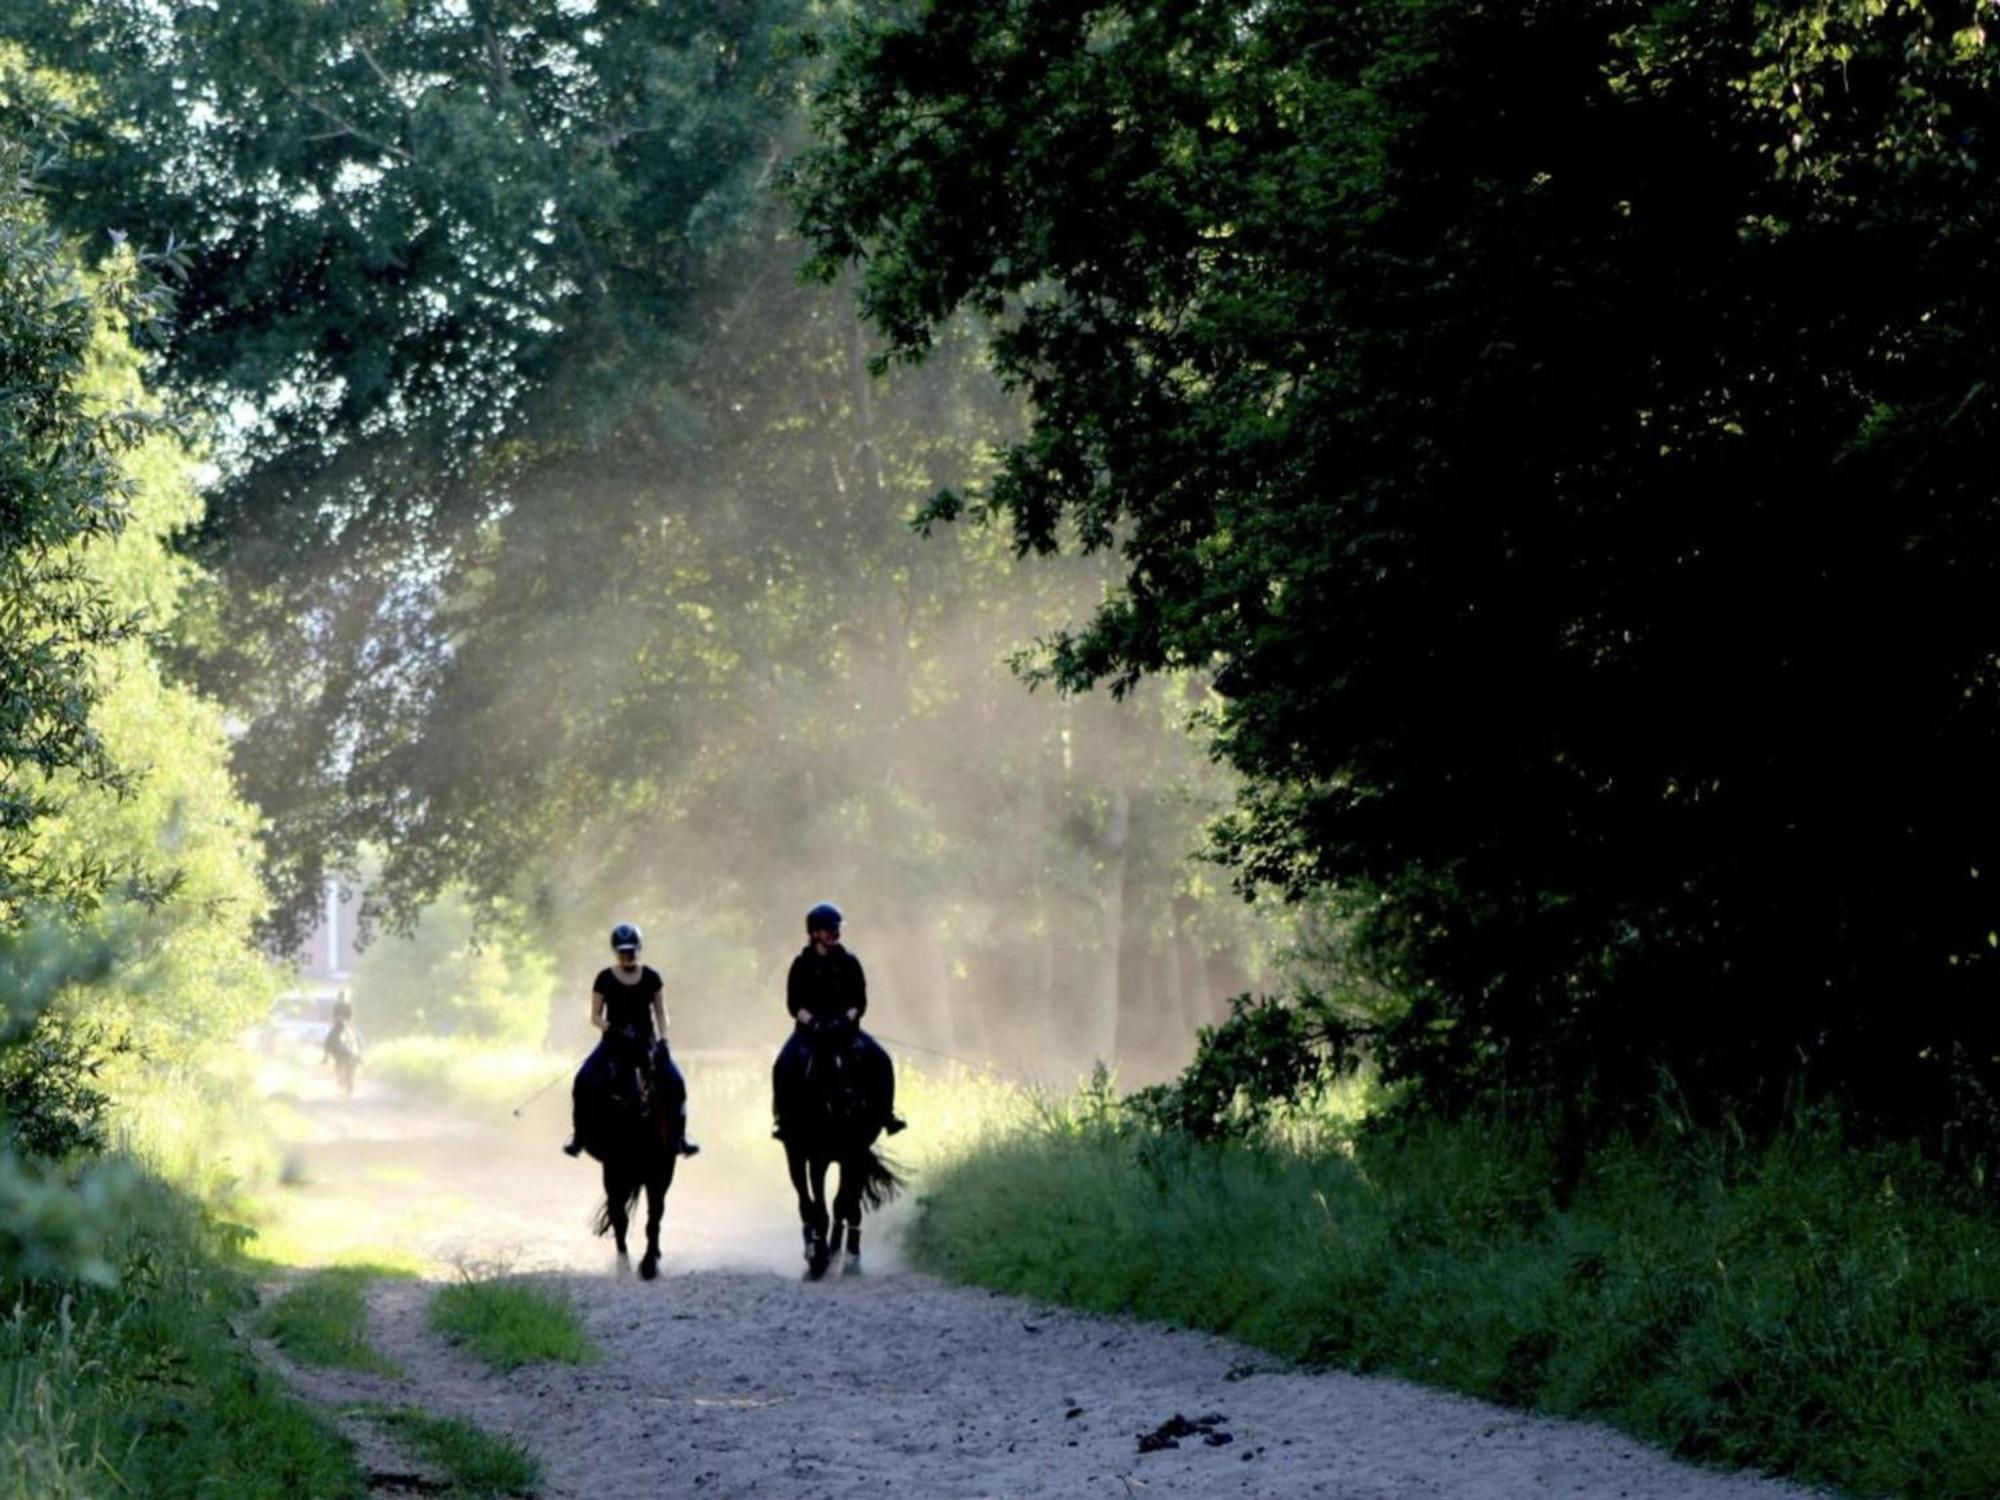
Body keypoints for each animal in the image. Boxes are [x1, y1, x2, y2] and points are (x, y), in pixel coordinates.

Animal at [576, 1032, 684, 1280]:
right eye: (616, 1064)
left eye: (649, 1063)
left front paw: (649, 1265)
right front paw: (624, 1266)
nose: (635, 1099)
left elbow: (655, 1216)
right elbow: (620, 1218)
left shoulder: (661, 1170)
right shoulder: (613, 1169)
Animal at [776, 1016, 904, 1272]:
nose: (847, 1098)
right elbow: (820, 1205)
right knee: (805, 1199)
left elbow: (842, 1204)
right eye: (822, 1062)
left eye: (853, 1058)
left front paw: (844, 1253)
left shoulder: (855, 1155)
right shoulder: (818, 1158)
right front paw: (820, 1254)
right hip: (796, 1153)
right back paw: (814, 1248)